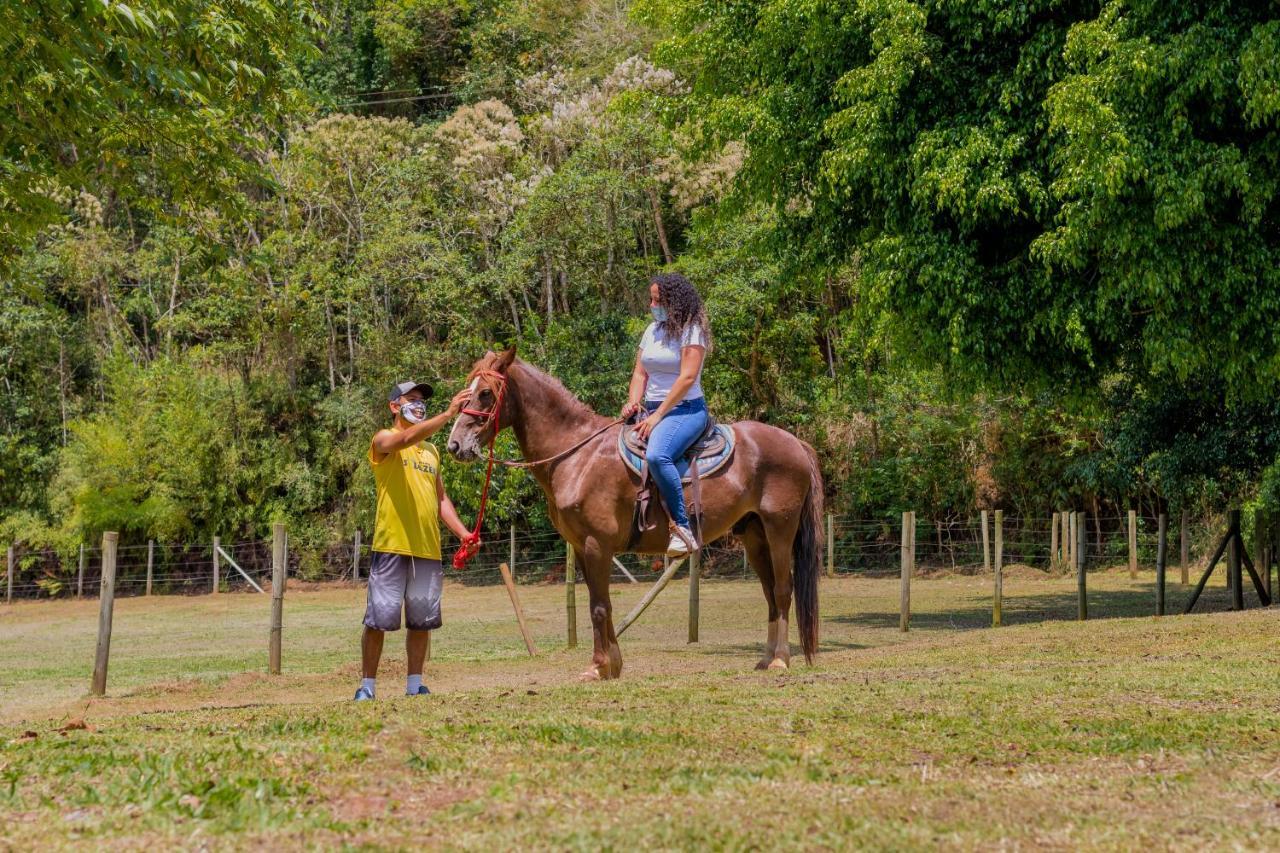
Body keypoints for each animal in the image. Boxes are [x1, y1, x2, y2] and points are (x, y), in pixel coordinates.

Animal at [450, 345, 824, 676]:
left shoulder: (597, 545)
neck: (577, 455)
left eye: (485, 393)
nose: (455, 445)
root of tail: (796, 443)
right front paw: (610, 665)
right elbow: (599, 603)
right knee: (770, 593)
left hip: (780, 529)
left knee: (783, 589)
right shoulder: (582, 548)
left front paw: (600, 666)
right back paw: (766, 658)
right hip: (753, 533)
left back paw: (780, 660)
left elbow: (599, 607)